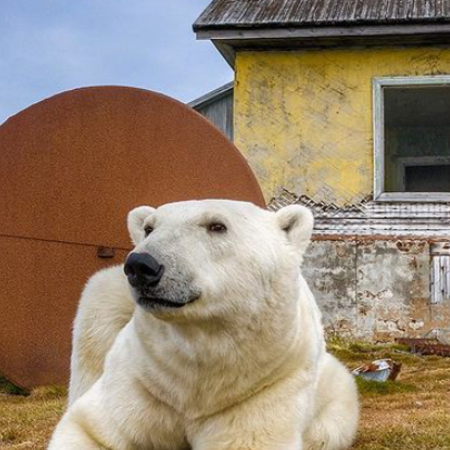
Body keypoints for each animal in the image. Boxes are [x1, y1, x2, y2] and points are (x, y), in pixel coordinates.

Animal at [50, 200, 358, 450]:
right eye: (149, 228)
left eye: (217, 226)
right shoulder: (141, 378)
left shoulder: (266, 384)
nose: (141, 265)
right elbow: (91, 430)